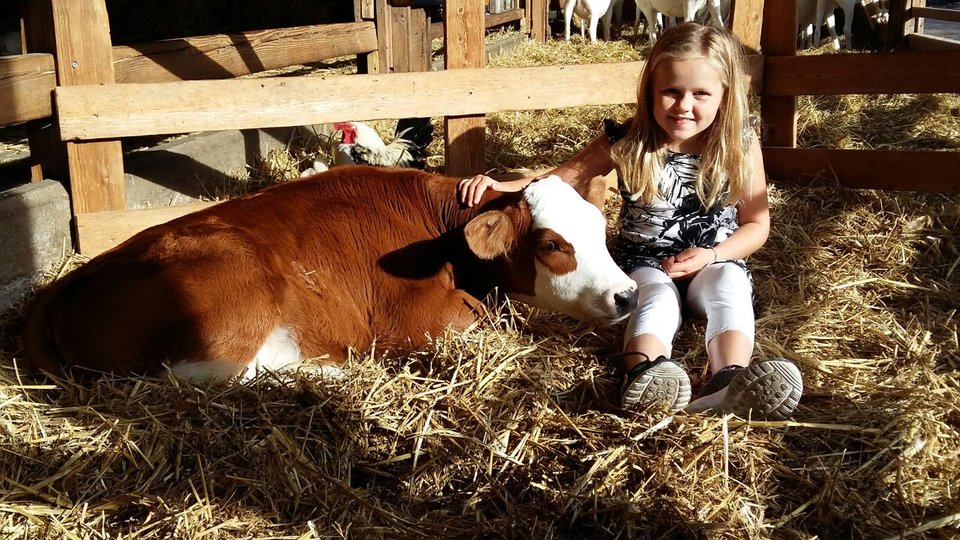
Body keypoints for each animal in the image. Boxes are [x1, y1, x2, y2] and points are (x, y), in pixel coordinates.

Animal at [22, 165, 636, 380]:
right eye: (552, 244)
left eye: (598, 229)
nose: (627, 295)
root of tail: (65, 284)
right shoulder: (419, 320)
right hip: (236, 292)